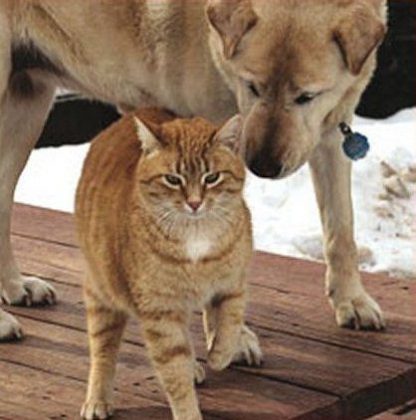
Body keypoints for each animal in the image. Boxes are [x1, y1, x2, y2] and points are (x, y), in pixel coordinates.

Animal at [0, 0, 386, 342]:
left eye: (306, 96)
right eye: (252, 86)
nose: (262, 165)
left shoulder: (330, 137)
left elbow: (341, 230)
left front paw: (352, 300)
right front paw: (231, 338)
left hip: (27, 107)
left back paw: (16, 287)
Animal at [75, 109, 262, 420]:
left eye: (212, 177)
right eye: (173, 179)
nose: (195, 203)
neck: (196, 236)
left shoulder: (233, 286)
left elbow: (229, 325)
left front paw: (219, 355)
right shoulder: (161, 314)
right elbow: (175, 374)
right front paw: (188, 412)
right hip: (102, 296)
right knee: (103, 352)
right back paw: (97, 400)